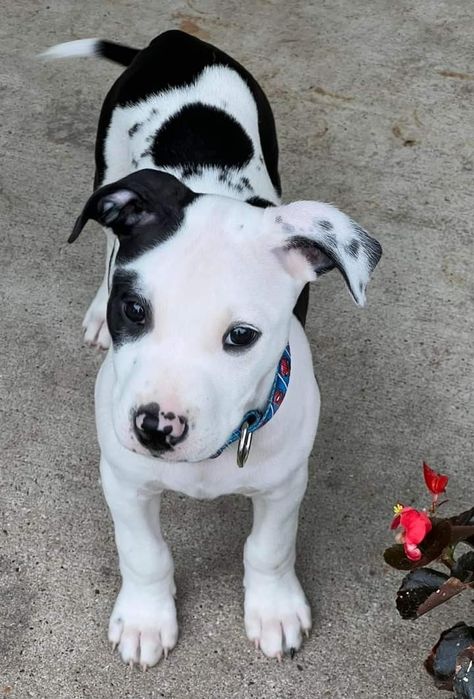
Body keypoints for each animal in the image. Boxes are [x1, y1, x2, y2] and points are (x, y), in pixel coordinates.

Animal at [44, 31, 382, 668]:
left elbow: (268, 549)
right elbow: (145, 554)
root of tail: (177, 39)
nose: (156, 428)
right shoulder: (123, 479)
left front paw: (274, 611)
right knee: (106, 242)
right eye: (134, 311)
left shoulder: (284, 484)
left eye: (241, 337)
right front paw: (146, 620)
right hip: (110, 164)